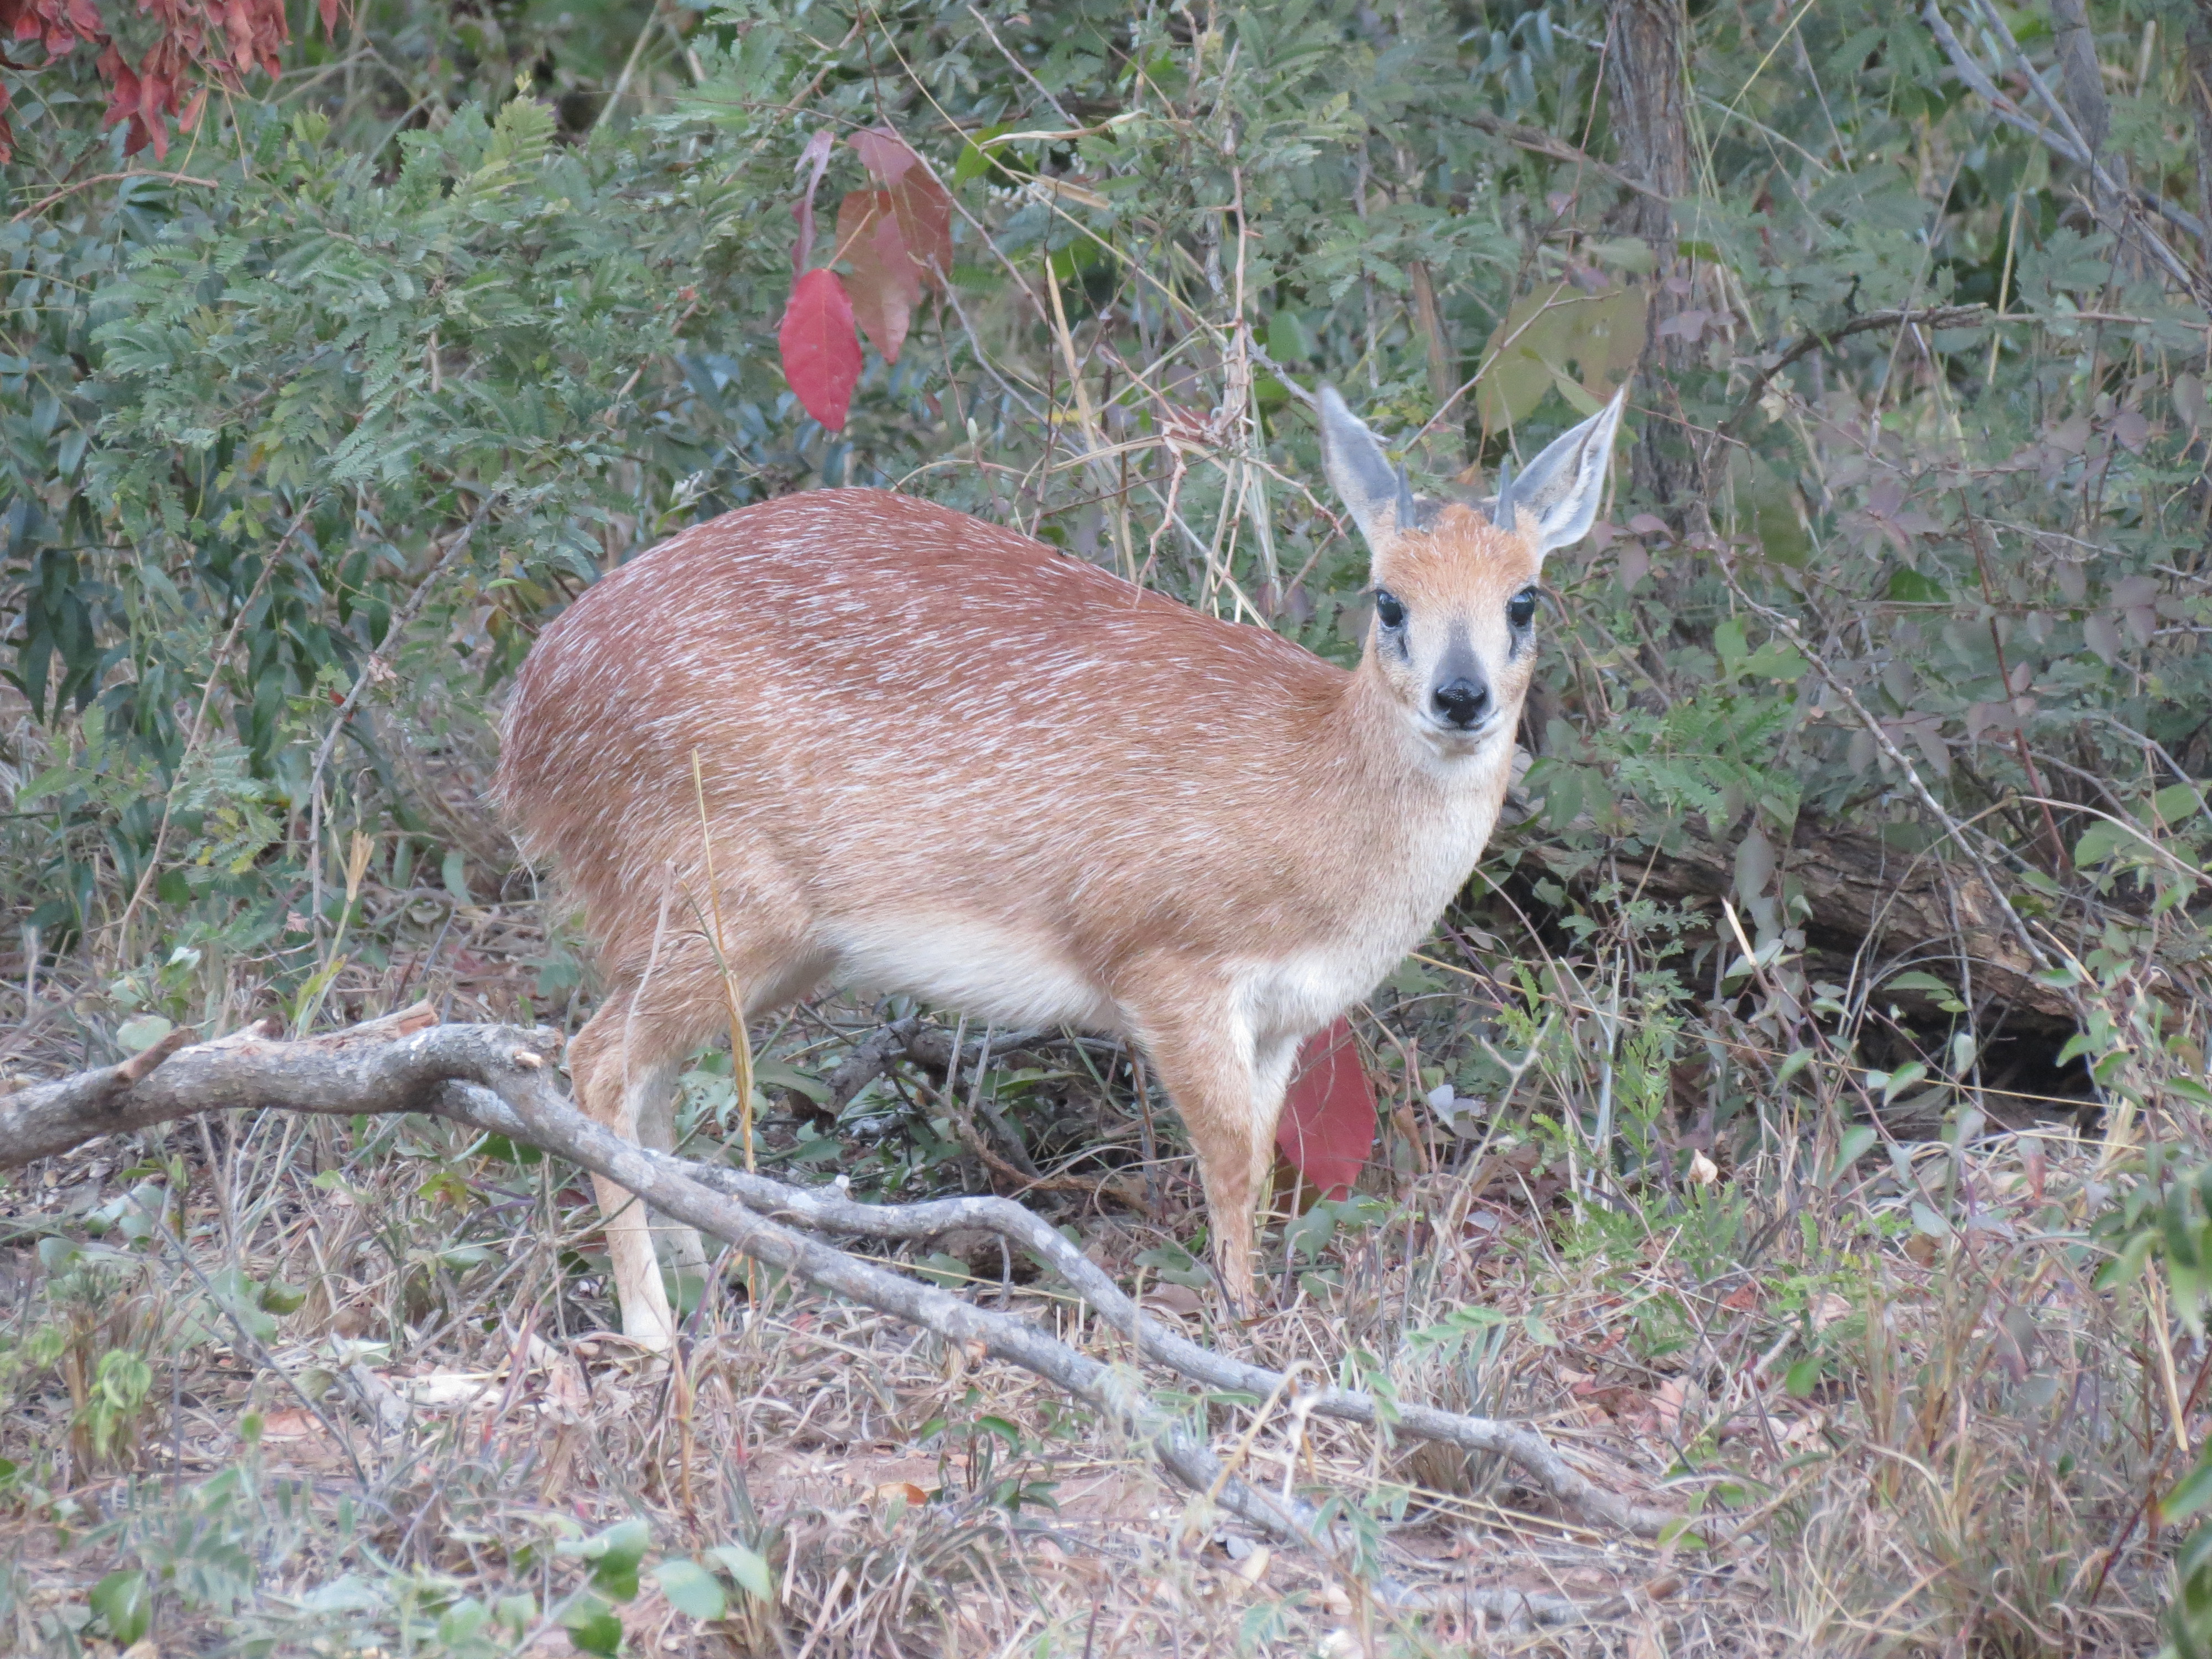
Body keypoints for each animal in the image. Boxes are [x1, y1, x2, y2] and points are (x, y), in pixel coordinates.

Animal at [507, 389, 1628, 1354]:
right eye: (1388, 601)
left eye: (1524, 598)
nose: (1461, 696)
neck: (1316, 803)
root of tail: (528, 711)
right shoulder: (1167, 966)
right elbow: (1229, 1162)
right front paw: (1237, 1327)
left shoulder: (1284, 1021)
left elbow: (1264, 1164)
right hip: (715, 905)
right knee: (592, 1064)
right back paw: (652, 1328)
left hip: (757, 946)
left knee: (646, 1082)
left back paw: (715, 1284)